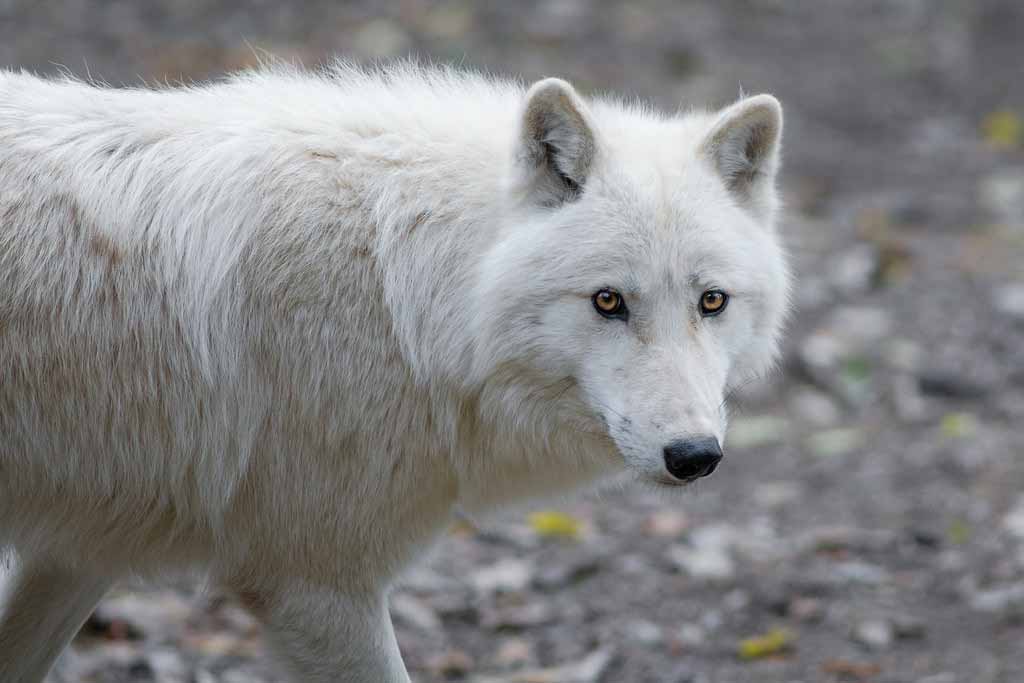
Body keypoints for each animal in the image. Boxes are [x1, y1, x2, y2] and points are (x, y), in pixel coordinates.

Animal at [0, 61, 790, 679]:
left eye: (711, 301)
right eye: (608, 301)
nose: (694, 455)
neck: (404, 295)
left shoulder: (81, 548)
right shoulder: (314, 586)